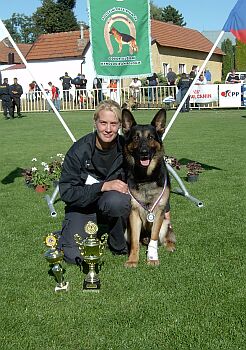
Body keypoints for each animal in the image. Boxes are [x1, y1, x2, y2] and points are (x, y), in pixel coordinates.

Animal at [121, 109, 175, 268]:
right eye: (136, 138)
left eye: (150, 137)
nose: (144, 152)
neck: (145, 177)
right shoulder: (133, 214)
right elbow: (134, 242)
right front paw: (133, 259)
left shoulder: (159, 213)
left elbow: (154, 239)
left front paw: (152, 258)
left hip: (165, 223)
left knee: (164, 238)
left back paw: (169, 245)